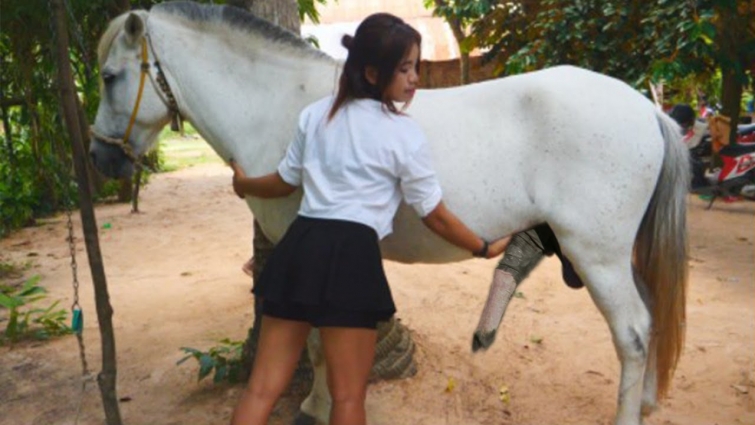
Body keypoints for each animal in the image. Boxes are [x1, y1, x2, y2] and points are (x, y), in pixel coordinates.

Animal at [89, 3, 689, 425]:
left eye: (110, 77)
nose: (100, 157)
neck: (280, 105)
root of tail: (647, 109)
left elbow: (315, 338)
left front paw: (315, 407)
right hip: (615, 255)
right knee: (653, 312)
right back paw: (649, 402)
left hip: (595, 254)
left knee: (633, 332)